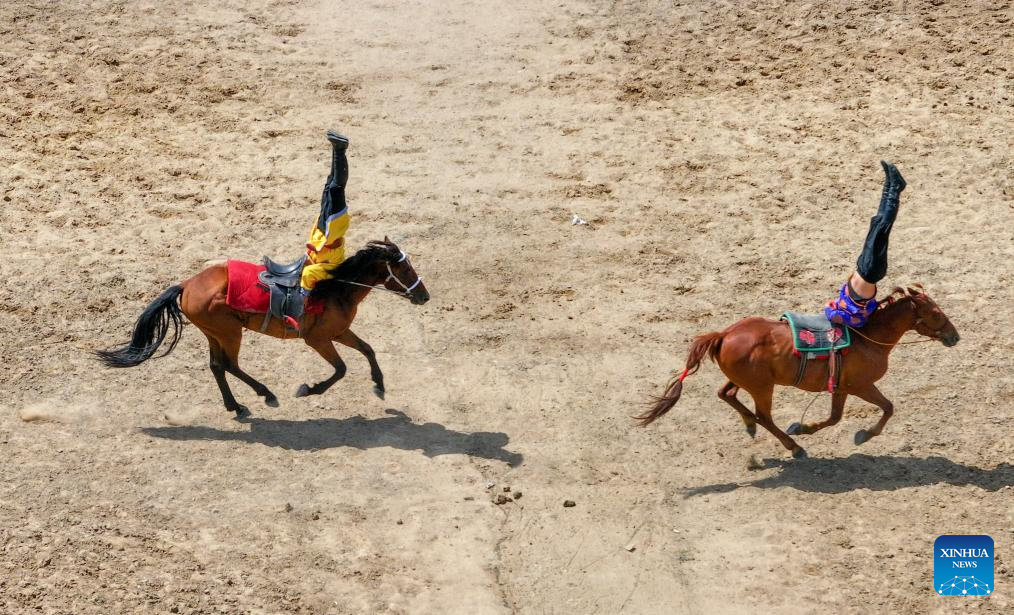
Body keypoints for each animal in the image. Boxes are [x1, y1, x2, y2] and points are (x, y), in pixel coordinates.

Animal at [95, 238, 427, 415]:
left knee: (217, 366)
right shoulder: (318, 339)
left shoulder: (338, 331)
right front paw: (310, 389)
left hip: (214, 333)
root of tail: (187, 284)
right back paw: (265, 393)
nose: (424, 295)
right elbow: (341, 369)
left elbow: (368, 350)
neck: (335, 288)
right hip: (230, 333)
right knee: (229, 364)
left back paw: (235, 405)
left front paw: (379, 384)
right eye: (405, 269)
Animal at [636, 287, 961, 457]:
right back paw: (792, 446)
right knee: (763, 415)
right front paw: (864, 435)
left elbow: (834, 418)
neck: (868, 338)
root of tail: (725, 334)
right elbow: (888, 407)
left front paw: (804, 427)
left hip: (746, 382)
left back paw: (750, 424)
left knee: (726, 393)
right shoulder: (861, 386)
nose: (954, 336)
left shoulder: (841, 388)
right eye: (935, 313)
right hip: (763, 388)